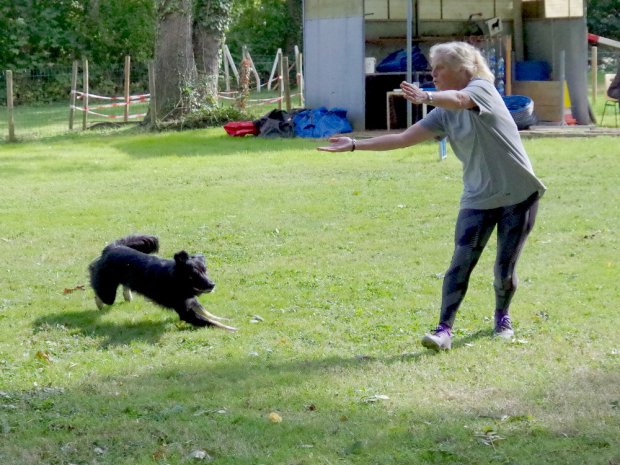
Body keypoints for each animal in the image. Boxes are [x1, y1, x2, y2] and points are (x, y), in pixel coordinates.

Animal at [89, 236, 237, 330]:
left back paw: (127, 295)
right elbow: (210, 321)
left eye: (205, 271)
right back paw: (99, 301)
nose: (212, 285)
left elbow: (208, 314)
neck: (176, 279)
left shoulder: (190, 300)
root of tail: (111, 248)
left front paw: (227, 319)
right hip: (107, 293)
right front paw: (232, 329)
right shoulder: (186, 312)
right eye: (193, 274)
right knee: (96, 285)